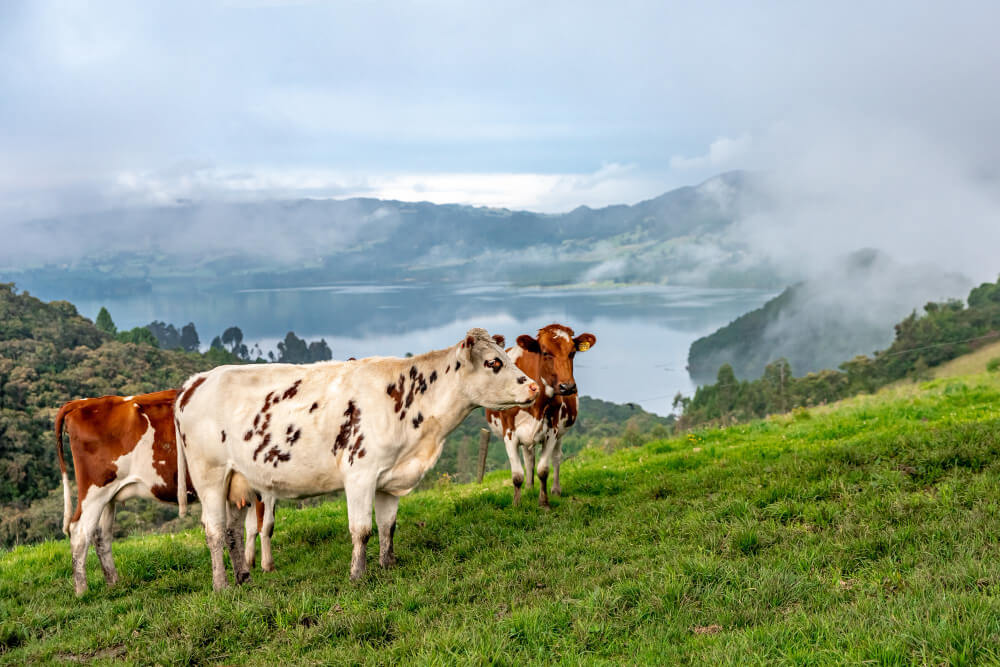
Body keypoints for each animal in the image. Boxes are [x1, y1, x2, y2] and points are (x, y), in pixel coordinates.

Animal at [56, 388, 276, 596]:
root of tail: (83, 402)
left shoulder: (237, 488)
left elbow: (236, 531)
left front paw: (245, 577)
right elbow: (264, 525)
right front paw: (264, 567)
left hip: (109, 497)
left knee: (101, 535)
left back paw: (114, 584)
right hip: (95, 491)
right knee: (79, 532)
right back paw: (82, 591)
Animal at [176, 326, 544, 592]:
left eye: (508, 357)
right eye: (494, 363)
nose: (535, 388)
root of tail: (196, 381)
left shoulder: (390, 477)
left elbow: (388, 524)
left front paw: (388, 563)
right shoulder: (360, 473)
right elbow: (362, 529)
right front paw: (357, 575)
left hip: (237, 480)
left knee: (232, 531)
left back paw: (244, 577)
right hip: (210, 476)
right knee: (214, 530)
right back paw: (222, 585)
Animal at [484, 324, 592, 506]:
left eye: (572, 352)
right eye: (545, 352)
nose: (567, 387)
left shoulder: (552, 431)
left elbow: (543, 470)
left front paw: (544, 503)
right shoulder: (509, 433)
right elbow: (517, 475)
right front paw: (517, 504)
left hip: (560, 432)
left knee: (556, 458)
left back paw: (555, 490)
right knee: (529, 459)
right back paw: (529, 488)